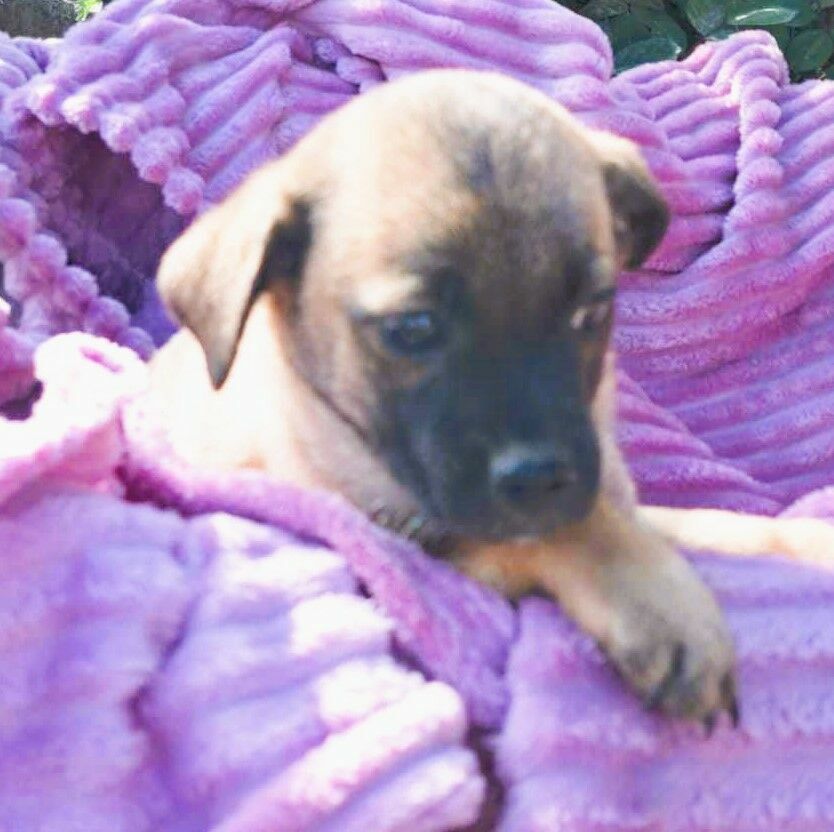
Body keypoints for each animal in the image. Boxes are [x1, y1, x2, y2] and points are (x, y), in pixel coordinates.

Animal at [147, 69, 834, 727]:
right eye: (413, 328)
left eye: (590, 313)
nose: (541, 477)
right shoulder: (424, 544)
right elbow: (565, 533)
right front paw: (665, 610)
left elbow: (725, 528)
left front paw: (810, 544)